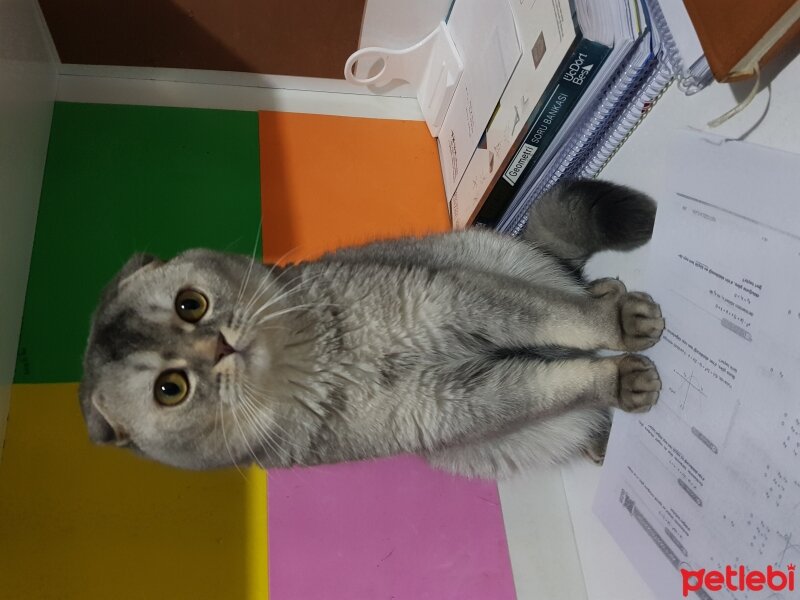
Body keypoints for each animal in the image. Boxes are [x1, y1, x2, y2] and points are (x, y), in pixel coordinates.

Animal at [79, 180, 664, 480]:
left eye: (190, 304)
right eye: (170, 389)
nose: (219, 344)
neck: (322, 358)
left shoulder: (457, 302)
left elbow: (564, 320)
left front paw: (616, 325)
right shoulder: (453, 404)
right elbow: (558, 384)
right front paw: (617, 378)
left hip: (495, 256)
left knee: (565, 283)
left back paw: (606, 294)